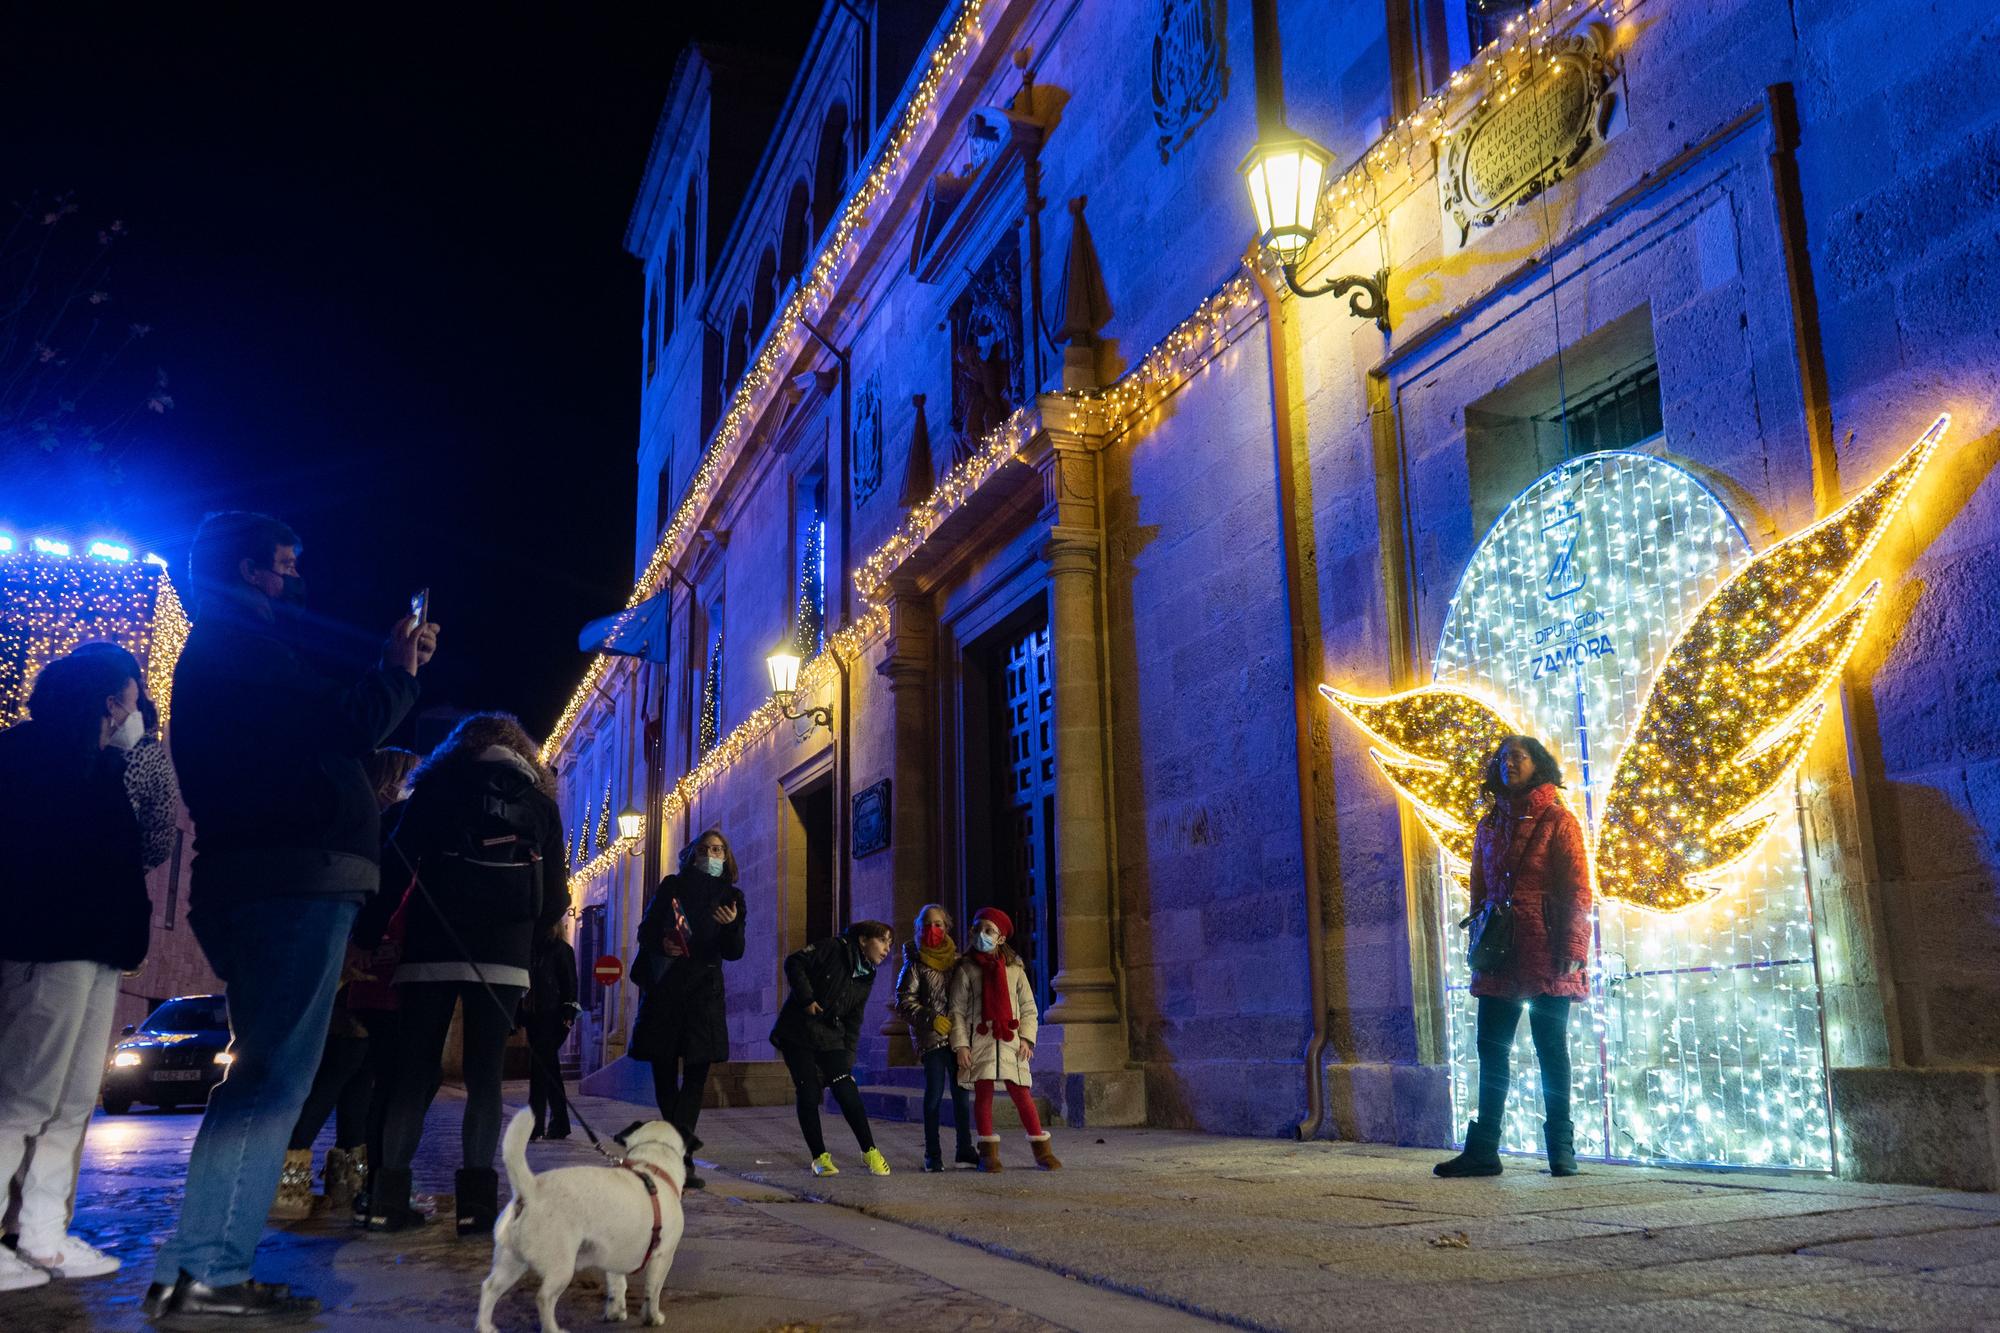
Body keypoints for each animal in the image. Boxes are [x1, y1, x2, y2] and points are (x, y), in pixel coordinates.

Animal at [474, 1096, 688, 1328]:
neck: (653, 1165)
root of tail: (529, 1190)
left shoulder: (614, 1254)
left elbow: (617, 1287)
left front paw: (615, 1312)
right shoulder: (663, 1256)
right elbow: (653, 1292)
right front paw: (652, 1317)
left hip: (511, 1262)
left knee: (489, 1288)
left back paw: (486, 1327)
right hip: (560, 1267)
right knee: (543, 1298)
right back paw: (554, 1329)